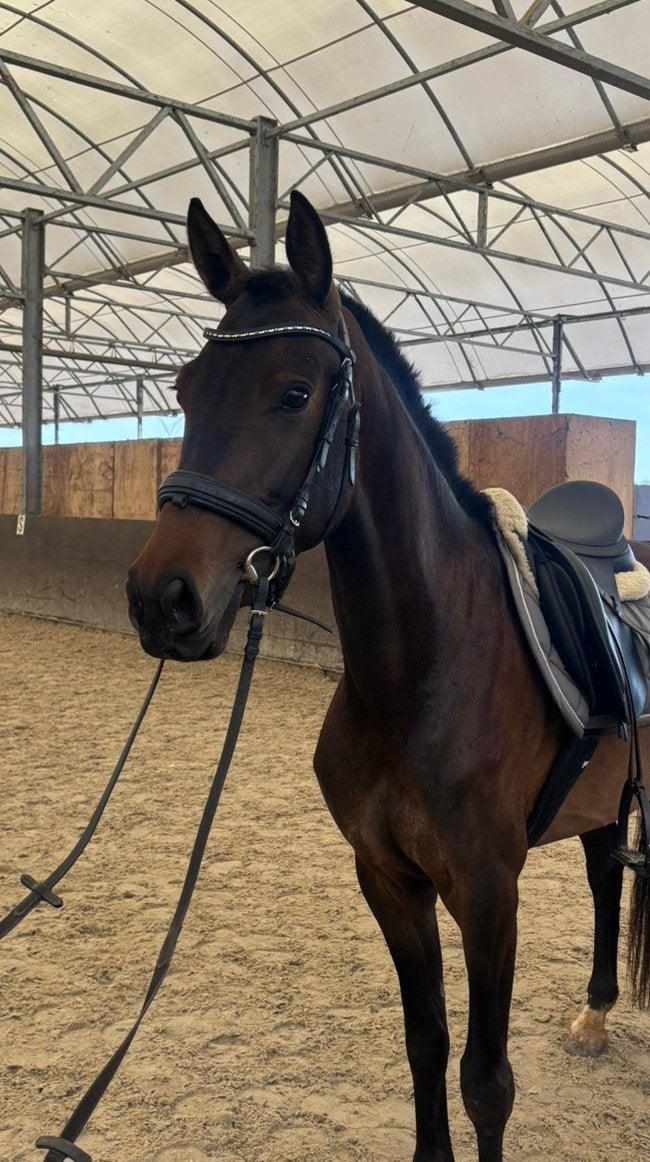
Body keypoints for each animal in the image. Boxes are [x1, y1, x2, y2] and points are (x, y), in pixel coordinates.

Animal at [126, 190, 650, 1162]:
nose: (159, 599)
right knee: (606, 871)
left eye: (295, 393)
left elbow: (486, 1081)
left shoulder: (488, 891)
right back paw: (596, 1014)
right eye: (183, 390)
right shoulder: (388, 879)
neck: (422, 670)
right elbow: (426, 1042)